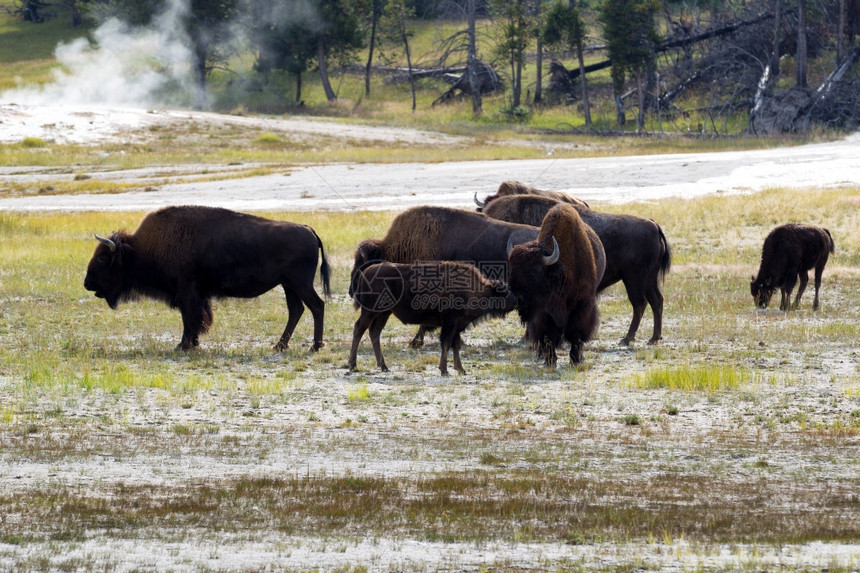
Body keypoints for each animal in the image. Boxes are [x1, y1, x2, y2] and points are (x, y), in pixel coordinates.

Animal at [84, 203, 330, 350]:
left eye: (103, 258)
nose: (87, 283)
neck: (139, 249)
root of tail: (309, 229)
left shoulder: (186, 291)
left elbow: (190, 317)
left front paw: (183, 345)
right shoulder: (196, 293)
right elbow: (195, 317)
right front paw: (191, 343)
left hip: (300, 283)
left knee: (317, 306)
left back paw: (315, 346)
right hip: (288, 285)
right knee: (296, 310)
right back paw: (280, 345)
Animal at [346, 260, 512, 376]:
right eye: (504, 293)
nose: (514, 302)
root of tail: (365, 273)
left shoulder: (457, 326)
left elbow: (456, 345)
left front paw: (461, 369)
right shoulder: (450, 323)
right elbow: (446, 344)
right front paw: (444, 370)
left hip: (384, 313)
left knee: (374, 332)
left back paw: (384, 367)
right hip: (370, 311)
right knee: (359, 329)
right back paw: (353, 365)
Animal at [508, 203, 600, 364]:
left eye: (534, 272)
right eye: (511, 269)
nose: (517, 299)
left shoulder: (582, 305)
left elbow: (576, 333)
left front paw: (575, 360)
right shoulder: (544, 312)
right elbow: (548, 336)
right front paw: (550, 361)